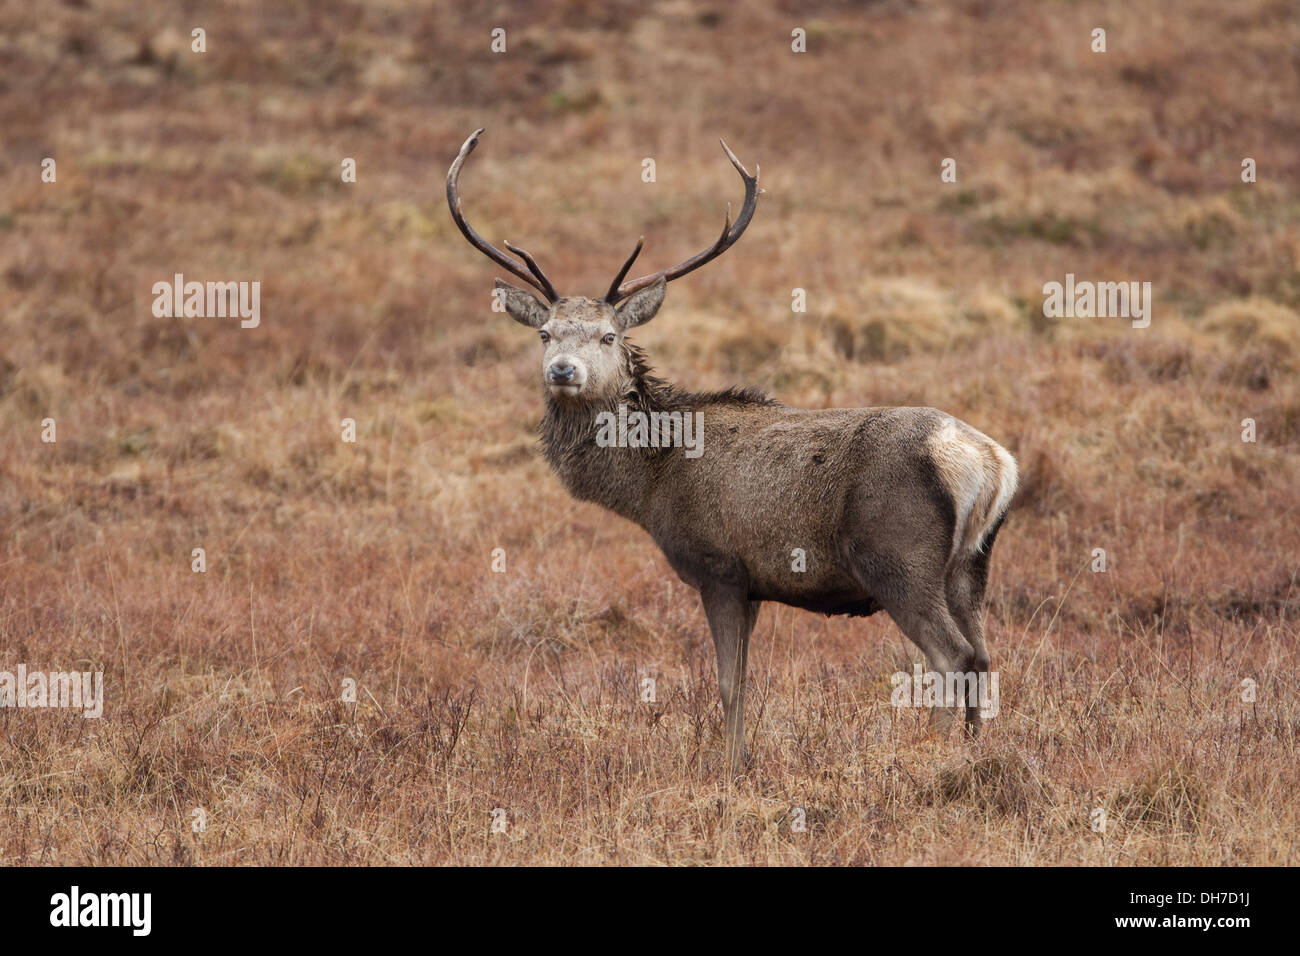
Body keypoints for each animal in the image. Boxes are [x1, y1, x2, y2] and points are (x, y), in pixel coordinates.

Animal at [447, 127, 1013, 775]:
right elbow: (743, 676)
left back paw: (934, 754)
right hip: (971, 564)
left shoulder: (718, 564)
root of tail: (991, 465)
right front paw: (742, 756)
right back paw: (975, 751)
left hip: (898, 556)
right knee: (983, 655)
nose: (563, 370)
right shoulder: (756, 583)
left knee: (951, 656)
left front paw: (730, 766)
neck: (649, 484)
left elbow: (725, 680)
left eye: (608, 336)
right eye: (545, 334)